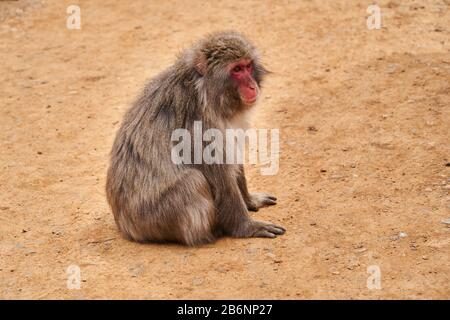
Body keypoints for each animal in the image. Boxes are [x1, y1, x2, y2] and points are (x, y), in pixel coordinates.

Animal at [106, 31, 284, 246]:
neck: (205, 92)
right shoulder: (198, 124)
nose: (251, 86)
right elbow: (219, 174)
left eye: (248, 65)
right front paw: (247, 227)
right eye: (237, 69)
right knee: (193, 180)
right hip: (154, 218)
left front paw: (249, 201)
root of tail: (124, 226)